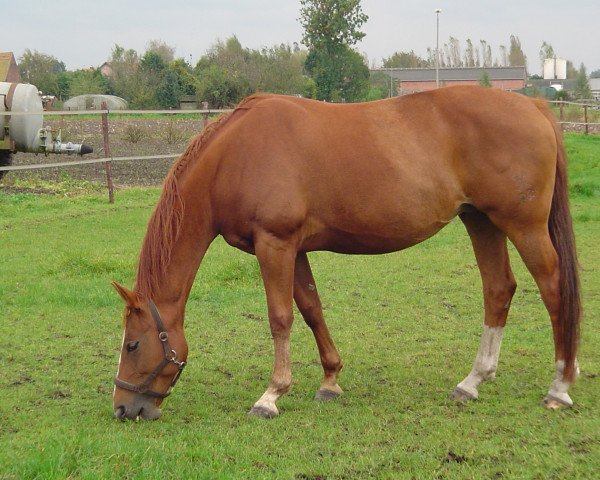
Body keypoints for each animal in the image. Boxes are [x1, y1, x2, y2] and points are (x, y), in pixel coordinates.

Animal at [110, 86, 580, 420]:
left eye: (132, 345)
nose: (123, 408)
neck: (235, 157)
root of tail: (534, 106)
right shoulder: (293, 248)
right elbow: (311, 308)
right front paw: (330, 380)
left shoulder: (274, 244)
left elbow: (280, 318)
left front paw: (271, 395)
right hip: (481, 221)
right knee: (498, 289)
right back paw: (472, 382)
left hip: (523, 226)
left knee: (553, 289)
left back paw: (559, 388)